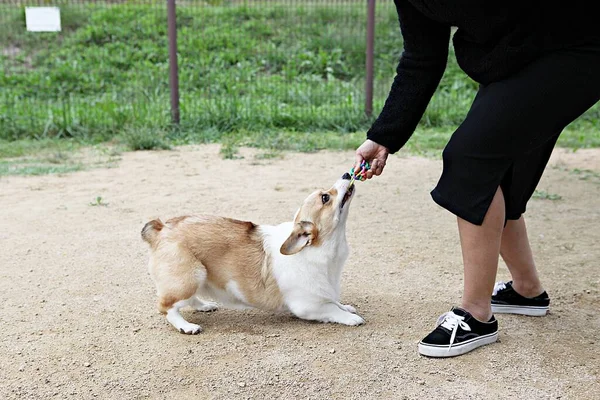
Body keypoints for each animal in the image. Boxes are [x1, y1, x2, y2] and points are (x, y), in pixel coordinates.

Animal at [142, 173, 360, 332]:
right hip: (191, 277)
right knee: (166, 307)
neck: (321, 250)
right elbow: (332, 308)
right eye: (325, 197)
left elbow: (336, 303)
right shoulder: (309, 306)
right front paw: (351, 317)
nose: (347, 173)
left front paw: (347, 307)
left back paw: (204, 306)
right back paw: (186, 326)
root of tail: (161, 228)